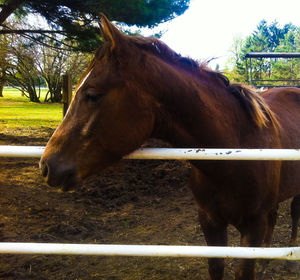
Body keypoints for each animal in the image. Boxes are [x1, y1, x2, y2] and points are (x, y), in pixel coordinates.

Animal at [40, 15, 300, 280]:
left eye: (92, 94)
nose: (47, 166)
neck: (234, 152)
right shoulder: (210, 221)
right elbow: (216, 267)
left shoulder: (253, 227)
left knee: (294, 216)